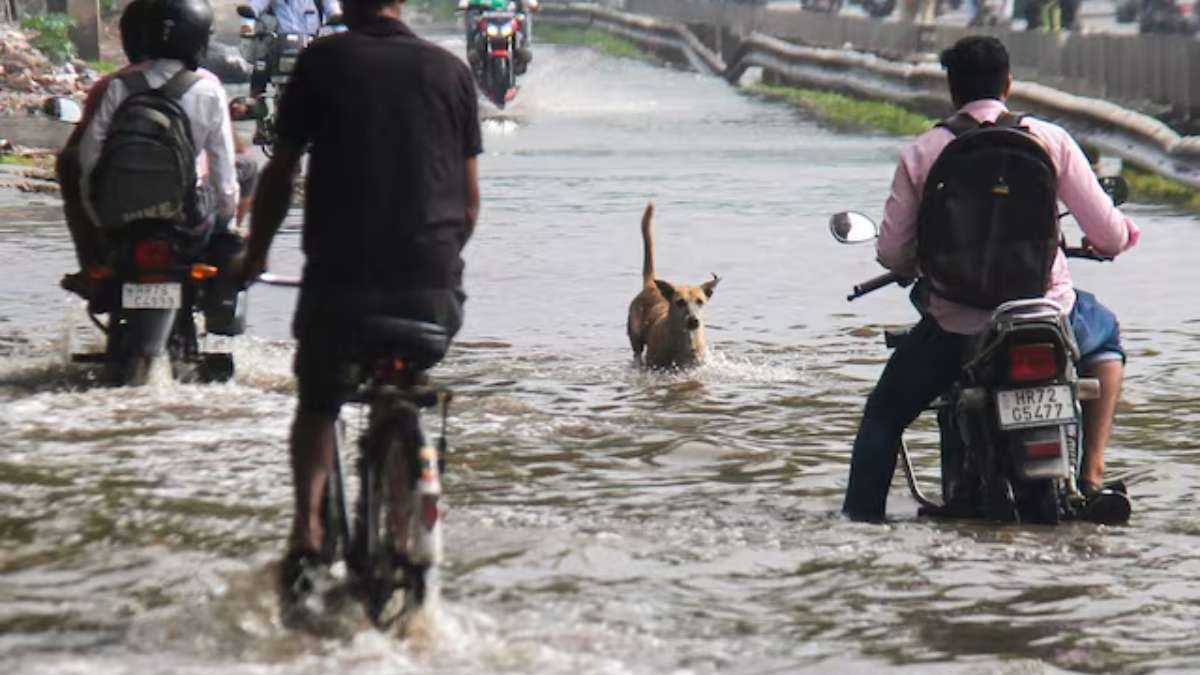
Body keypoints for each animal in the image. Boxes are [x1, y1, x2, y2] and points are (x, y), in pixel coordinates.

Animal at [628, 201, 720, 367]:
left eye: (700, 301)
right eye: (680, 302)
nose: (694, 320)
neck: (684, 340)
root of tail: (650, 285)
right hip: (635, 335)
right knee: (637, 351)